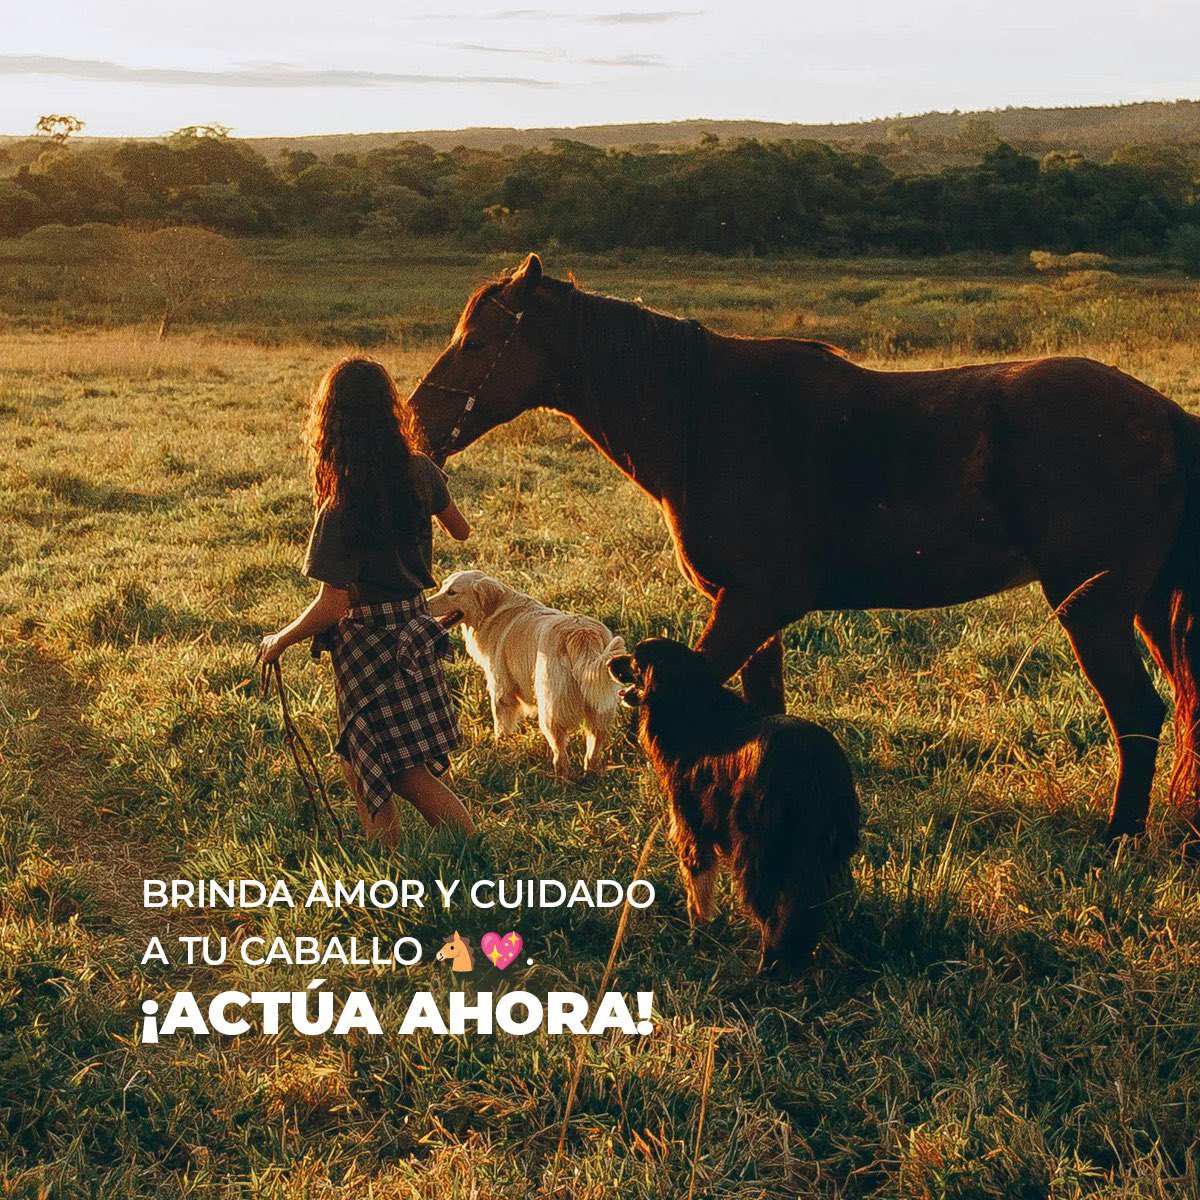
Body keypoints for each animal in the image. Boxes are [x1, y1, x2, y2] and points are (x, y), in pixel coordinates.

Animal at [407, 253, 1200, 845]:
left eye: (479, 342)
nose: (415, 421)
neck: (706, 420)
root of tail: (1164, 414)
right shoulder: (756, 614)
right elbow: (763, 711)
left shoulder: (754, 605)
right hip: (1145, 611)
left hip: (1093, 612)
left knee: (1139, 715)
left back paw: (1119, 839)